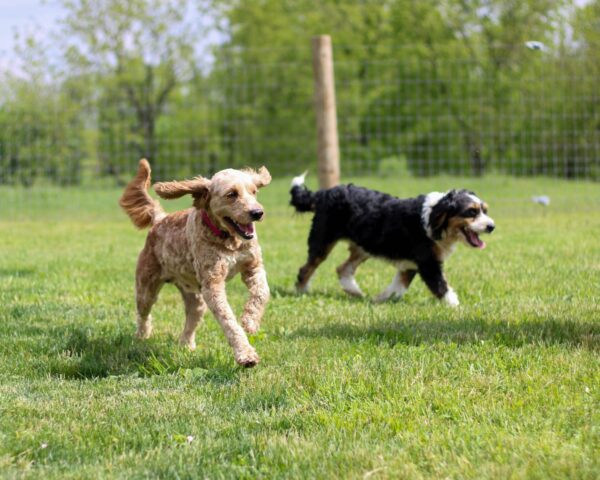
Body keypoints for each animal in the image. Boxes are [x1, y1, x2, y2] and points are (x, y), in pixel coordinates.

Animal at [288, 174, 494, 306]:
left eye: (485, 210)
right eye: (471, 212)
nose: (491, 226)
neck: (433, 218)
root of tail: (323, 193)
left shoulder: (411, 264)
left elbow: (399, 287)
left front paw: (380, 299)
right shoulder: (427, 263)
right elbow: (441, 286)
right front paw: (456, 306)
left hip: (363, 247)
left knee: (342, 268)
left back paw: (354, 292)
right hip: (323, 241)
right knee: (306, 268)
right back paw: (301, 291)